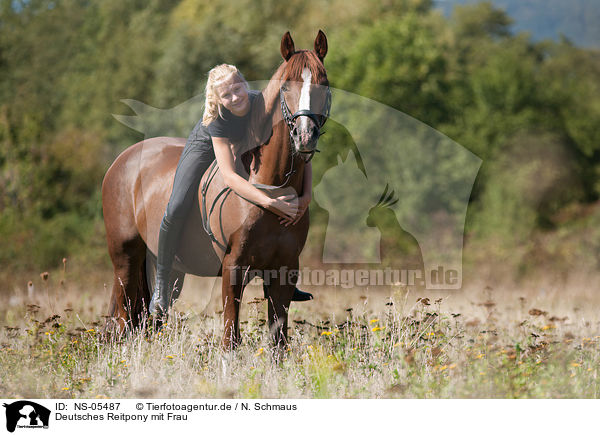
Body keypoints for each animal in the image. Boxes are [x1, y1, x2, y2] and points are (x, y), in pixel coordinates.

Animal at [101, 30, 330, 350]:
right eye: (286, 86)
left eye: (324, 82)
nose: (305, 136)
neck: (269, 192)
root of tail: (122, 160)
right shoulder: (233, 268)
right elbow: (230, 338)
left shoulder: (284, 271)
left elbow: (279, 342)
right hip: (125, 259)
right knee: (123, 321)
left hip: (166, 269)